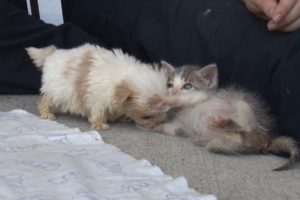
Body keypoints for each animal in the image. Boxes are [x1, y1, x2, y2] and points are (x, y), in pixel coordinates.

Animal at [154, 60, 298, 170]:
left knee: (246, 125)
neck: (186, 110)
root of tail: (267, 139)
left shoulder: (200, 97)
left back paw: (223, 122)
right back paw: (222, 126)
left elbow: (186, 98)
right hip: (220, 143)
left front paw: (165, 99)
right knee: (238, 139)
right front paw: (156, 125)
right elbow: (171, 128)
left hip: (243, 104)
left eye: (187, 86)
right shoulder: (182, 127)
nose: (172, 91)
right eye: (170, 84)